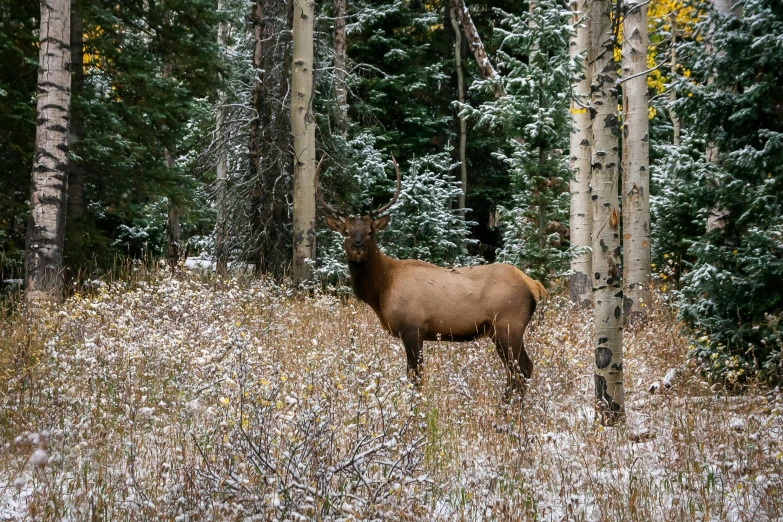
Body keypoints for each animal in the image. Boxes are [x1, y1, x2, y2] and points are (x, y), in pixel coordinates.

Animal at [316, 153, 548, 398]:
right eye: (346, 232)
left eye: (370, 231)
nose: (358, 246)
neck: (382, 290)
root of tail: (534, 285)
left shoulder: (413, 327)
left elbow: (415, 377)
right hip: (502, 329)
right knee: (521, 369)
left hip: (508, 324)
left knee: (521, 369)